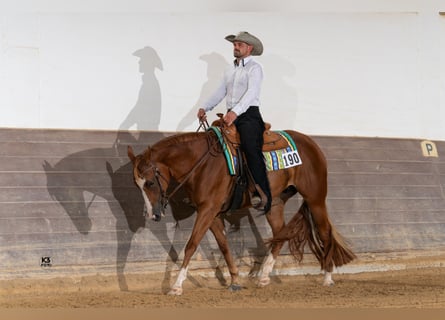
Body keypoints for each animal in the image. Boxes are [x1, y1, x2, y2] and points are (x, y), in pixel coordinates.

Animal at [126, 122, 356, 296]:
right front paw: (235, 281)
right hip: (275, 202)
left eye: (150, 183)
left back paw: (327, 277)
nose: (153, 215)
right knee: (280, 233)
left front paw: (176, 286)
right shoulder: (213, 213)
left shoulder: (207, 210)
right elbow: (224, 246)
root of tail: (311, 143)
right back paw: (263, 276)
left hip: (315, 198)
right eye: (136, 184)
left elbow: (191, 245)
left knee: (324, 232)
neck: (202, 163)